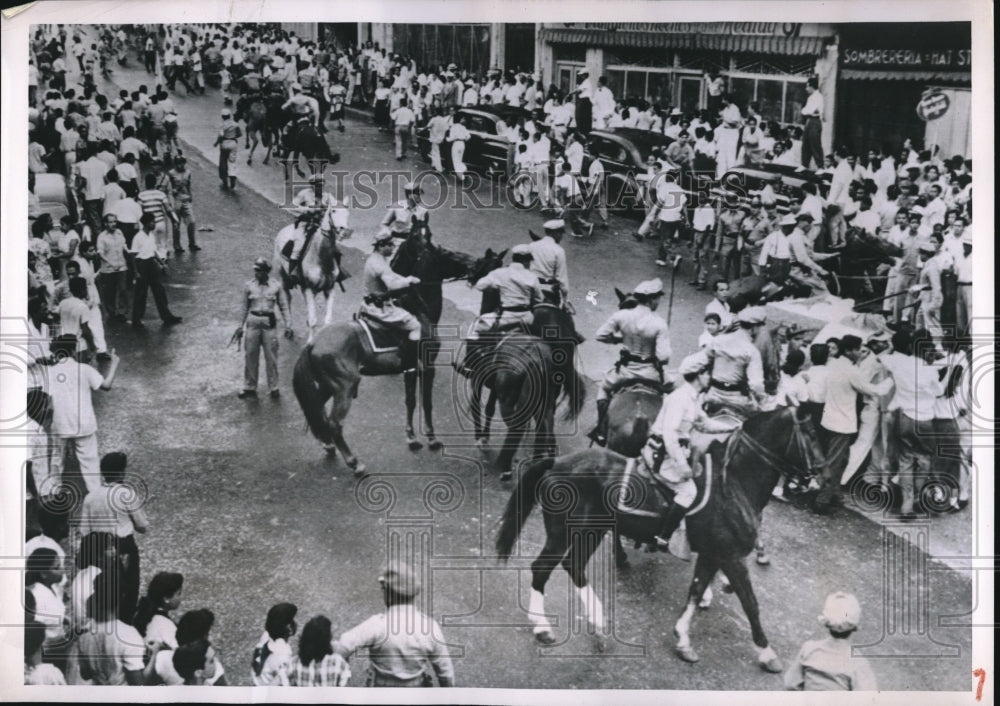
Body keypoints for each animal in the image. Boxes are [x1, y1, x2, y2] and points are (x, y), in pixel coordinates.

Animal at [292, 223, 504, 470]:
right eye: (447, 253)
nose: (474, 264)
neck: (420, 308)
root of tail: (313, 344)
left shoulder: (409, 369)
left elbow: (410, 401)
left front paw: (412, 437)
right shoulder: (427, 367)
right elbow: (426, 402)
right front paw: (431, 438)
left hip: (328, 386)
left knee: (317, 411)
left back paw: (328, 445)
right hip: (344, 388)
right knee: (334, 422)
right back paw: (354, 462)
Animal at [496, 404, 824, 668]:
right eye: (809, 432)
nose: (818, 477)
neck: (733, 484)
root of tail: (557, 462)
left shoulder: (712, 554)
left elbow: (695, 591)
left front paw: (683, 639)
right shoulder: (731, 557)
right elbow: (751, 603)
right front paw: (767, 653)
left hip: (590, 531)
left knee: (571, 567)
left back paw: (595, 625)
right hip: (569, 532)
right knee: (544, 568)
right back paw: (546, 627)